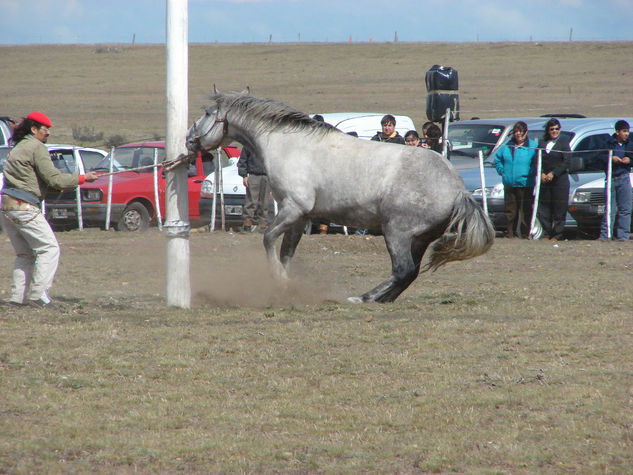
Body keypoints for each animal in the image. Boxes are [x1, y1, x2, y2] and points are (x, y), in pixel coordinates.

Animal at [185, 90, 492, 302]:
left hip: (396, 232)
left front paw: (279, 280)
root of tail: (457, 188)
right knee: (410, 273)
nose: (189, 140)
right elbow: (287, 252)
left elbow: (268, 239)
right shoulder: (299, 217)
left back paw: (363, 298)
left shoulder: (292, 209)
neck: (288, 145)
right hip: (418, 238)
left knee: (402, 270)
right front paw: (287, 284)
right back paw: (382, 299)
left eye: (208, 113)